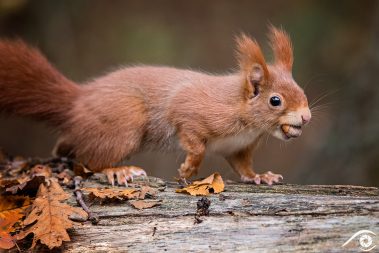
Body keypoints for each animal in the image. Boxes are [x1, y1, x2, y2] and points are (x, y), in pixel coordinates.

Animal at [0, 26, 312, 186]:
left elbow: (243, 166)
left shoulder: (238, 147)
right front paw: (187, 169)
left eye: (302, 91)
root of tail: (78, 101)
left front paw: (260, 176)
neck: (247, 122)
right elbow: (195, 143)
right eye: (275, 100)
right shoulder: (191, 111)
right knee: (89, 161)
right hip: (125, 122)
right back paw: (117, 170)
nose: (307, 117)